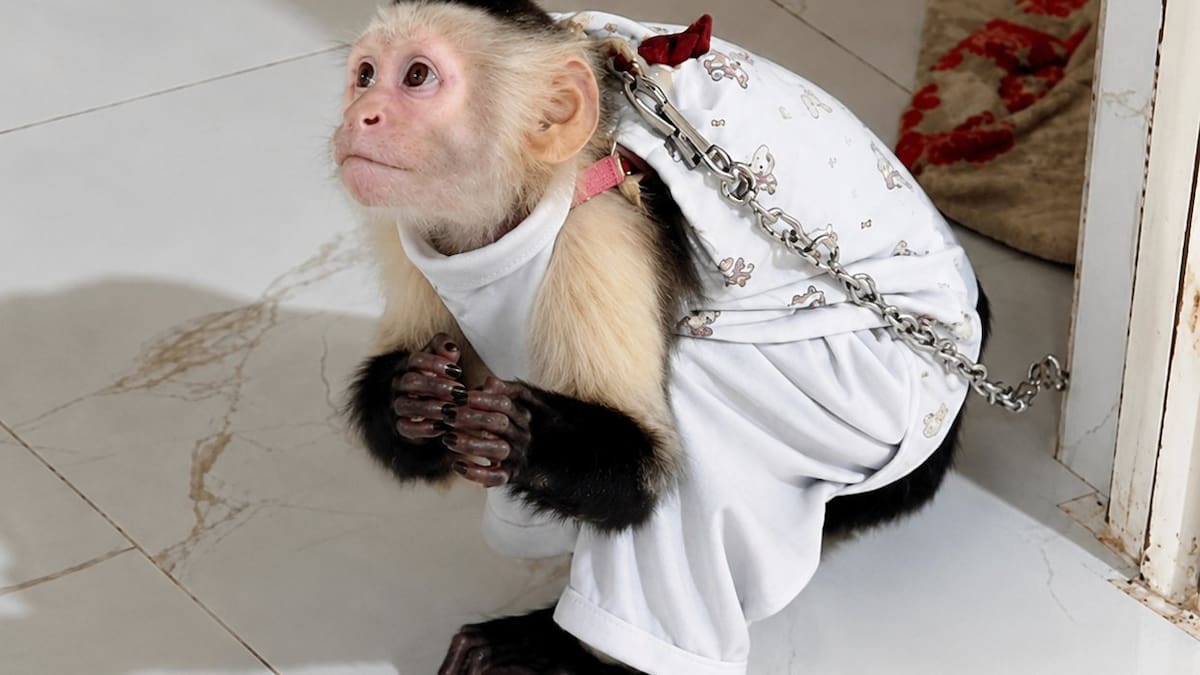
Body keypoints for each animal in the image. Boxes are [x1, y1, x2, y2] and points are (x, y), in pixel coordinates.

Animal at [335, 2, 989, 673]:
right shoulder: (415, 234)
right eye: (365, 75)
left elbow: (640, 471)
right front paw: (411, 398)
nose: (359, 116)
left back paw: (561, 649)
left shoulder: (604, 231)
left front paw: (521, 433)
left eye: (416, 76)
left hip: (876, 398)